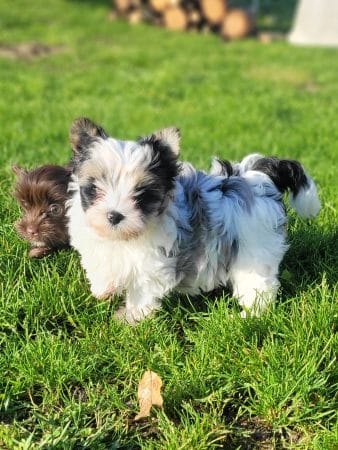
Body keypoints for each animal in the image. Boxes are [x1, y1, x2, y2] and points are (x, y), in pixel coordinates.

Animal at [66, 118, 320, 324]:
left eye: (141, 193)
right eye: (95, 188)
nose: (114, 215)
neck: (126, 237)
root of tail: (260, 177)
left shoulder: (154, 265)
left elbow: (141, 293)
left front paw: (130, 320)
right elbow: (100, 264)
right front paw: (103, 289)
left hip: (254, 251)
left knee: (259, 287)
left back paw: (247, 318)